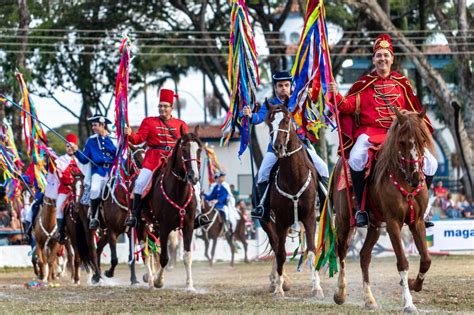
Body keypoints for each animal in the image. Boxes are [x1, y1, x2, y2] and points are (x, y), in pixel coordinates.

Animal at [139, 131, 202, 292]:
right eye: (184, 150)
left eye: (199, 150)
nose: (194, 177)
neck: (178, 191)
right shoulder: (165, 227)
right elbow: (164, 258)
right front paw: (158, 281)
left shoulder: (188, 226)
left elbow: (187, 256)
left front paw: (189, 285)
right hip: (140, 224)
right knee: (145, 251)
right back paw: (150, 281)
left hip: (154, 227)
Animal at [262, 105, 324, 298]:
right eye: (269, 123)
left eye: (287, 120)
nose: (278, 147)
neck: (293, 178)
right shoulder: (281, 221)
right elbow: (281, 253)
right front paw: (279, 288)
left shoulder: (310, 217)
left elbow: (311, 251)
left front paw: (316, 287)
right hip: (268, 224)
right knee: (276, 247)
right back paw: (276, 280)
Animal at [332, 108, 436, 314]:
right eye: (402, 142)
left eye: (422, 139)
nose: (415, 178)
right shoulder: (393, 223)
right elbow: (402, 262)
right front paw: (408, 303)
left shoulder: (417, 222)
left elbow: (426, 260)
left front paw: (413, 284)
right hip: (344, 221)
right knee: (342, 252)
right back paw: (340, 293)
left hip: (375, 226)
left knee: (364, 256)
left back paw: (369, 299)